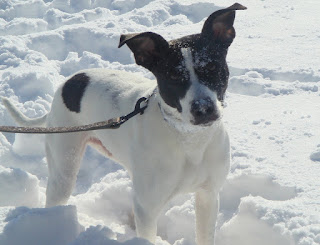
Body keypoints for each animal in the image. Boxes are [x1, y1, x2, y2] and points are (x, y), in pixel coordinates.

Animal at [1, 3, 245, 245]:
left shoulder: (208, 196)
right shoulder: (148, 207)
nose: (203, 109)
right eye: (173, 77)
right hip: (63, 167)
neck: (188, 138)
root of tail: (69, 81)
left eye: (212, 68)